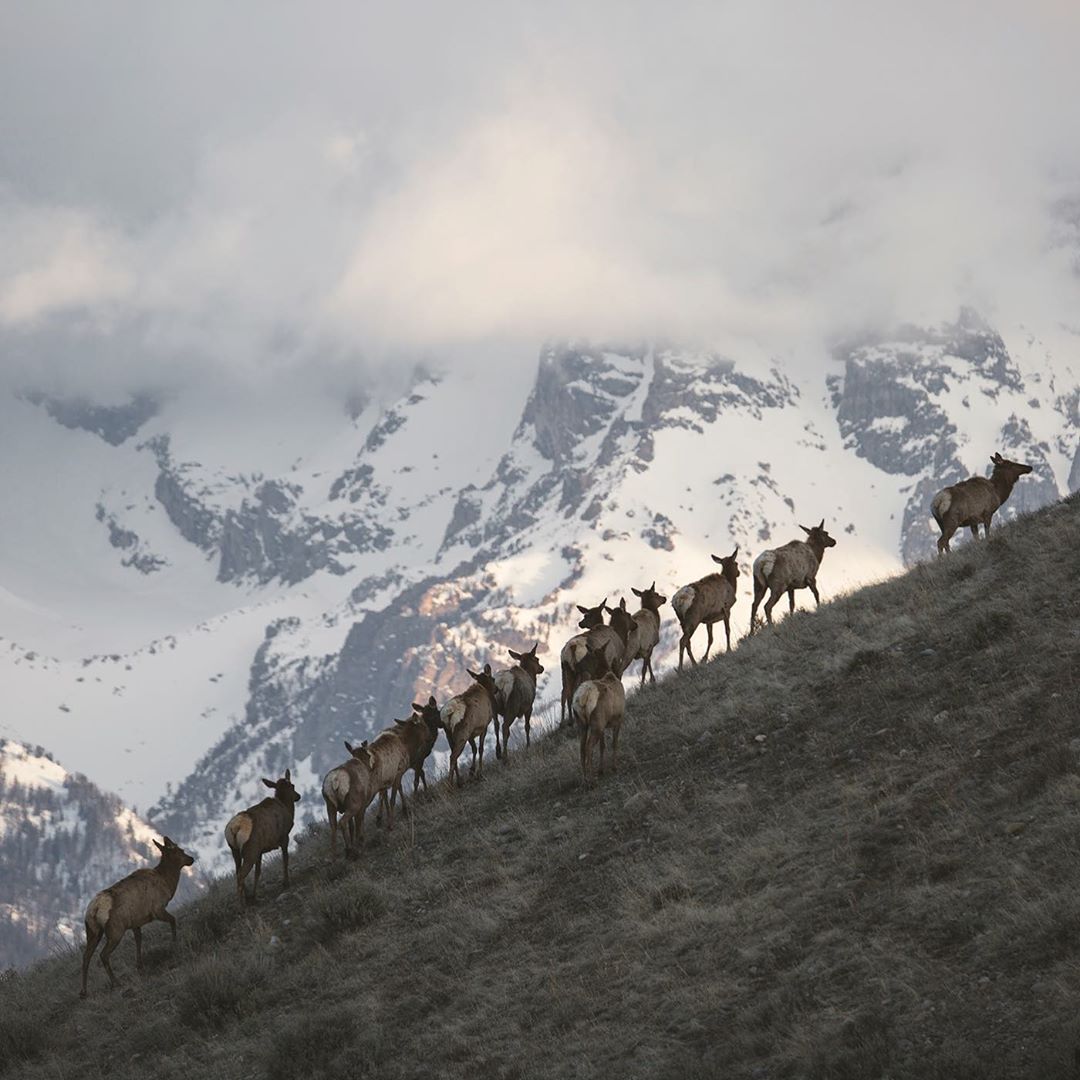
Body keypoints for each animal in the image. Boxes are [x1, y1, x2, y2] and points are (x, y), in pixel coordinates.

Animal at [81, 833, 198, 993]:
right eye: (180, 850)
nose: (191, 859)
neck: (167, 882)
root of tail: (94, 909)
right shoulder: (157, 909)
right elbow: (173, 920)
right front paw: (174, 943)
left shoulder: (135, 923)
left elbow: (138, 940)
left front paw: (140, 966)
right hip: (115, 930)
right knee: (103, 955)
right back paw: (116, 982)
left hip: (93, 931)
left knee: (86, 957)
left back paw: (84, 992)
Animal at [222, 768, 300, 902]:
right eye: (293, 785)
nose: (298, 796)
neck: (287, 808)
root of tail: (234, 828)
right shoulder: (284, 836)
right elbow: (285, 859)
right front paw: (286, 883)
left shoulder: (260, 851)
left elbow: (258, 872)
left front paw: (254, 895)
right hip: (250, 849)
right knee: (241, 874)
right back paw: (242, 903)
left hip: (235, 850)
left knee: (238, 872)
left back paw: (248, 897)